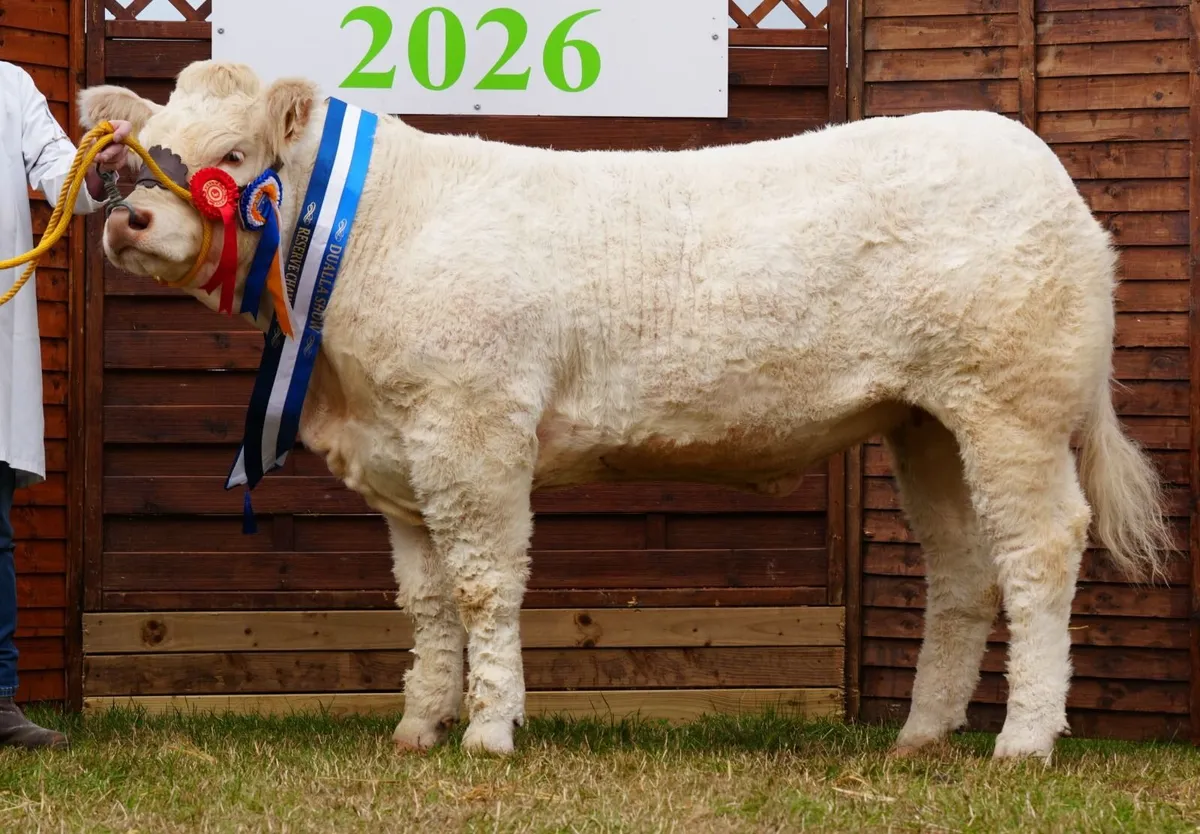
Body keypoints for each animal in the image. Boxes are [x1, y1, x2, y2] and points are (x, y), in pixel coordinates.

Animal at [78, 60, 1172, 761]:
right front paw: (417, 729)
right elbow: (426, 603)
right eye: (143, 149)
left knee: (1040, 549)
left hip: (1010, 407)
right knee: (961, 569)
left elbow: (484, 586)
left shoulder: (472, 431)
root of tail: (1038, 164)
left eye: (232, 153)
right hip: (927, 423)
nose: (128, 219)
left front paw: (489, 732)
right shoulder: (404, 459)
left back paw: (1024, 741)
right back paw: (920, 737)